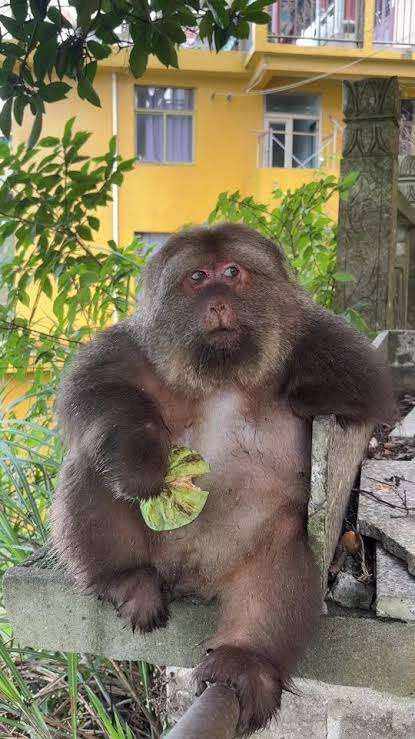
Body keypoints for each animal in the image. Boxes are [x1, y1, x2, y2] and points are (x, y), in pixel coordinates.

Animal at [51, 223, 396, 736]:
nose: (218, 301)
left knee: (281, 557)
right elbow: (95, 390)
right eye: (198, 277)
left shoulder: (319, 334)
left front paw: (307, 390)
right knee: (91, 464)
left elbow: (369, 393)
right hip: (160, 557)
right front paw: (141, 459)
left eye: (232, 272)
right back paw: (125, 578)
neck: (224, 374)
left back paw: (246, 661)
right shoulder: (137, 348)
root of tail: (195, 580)